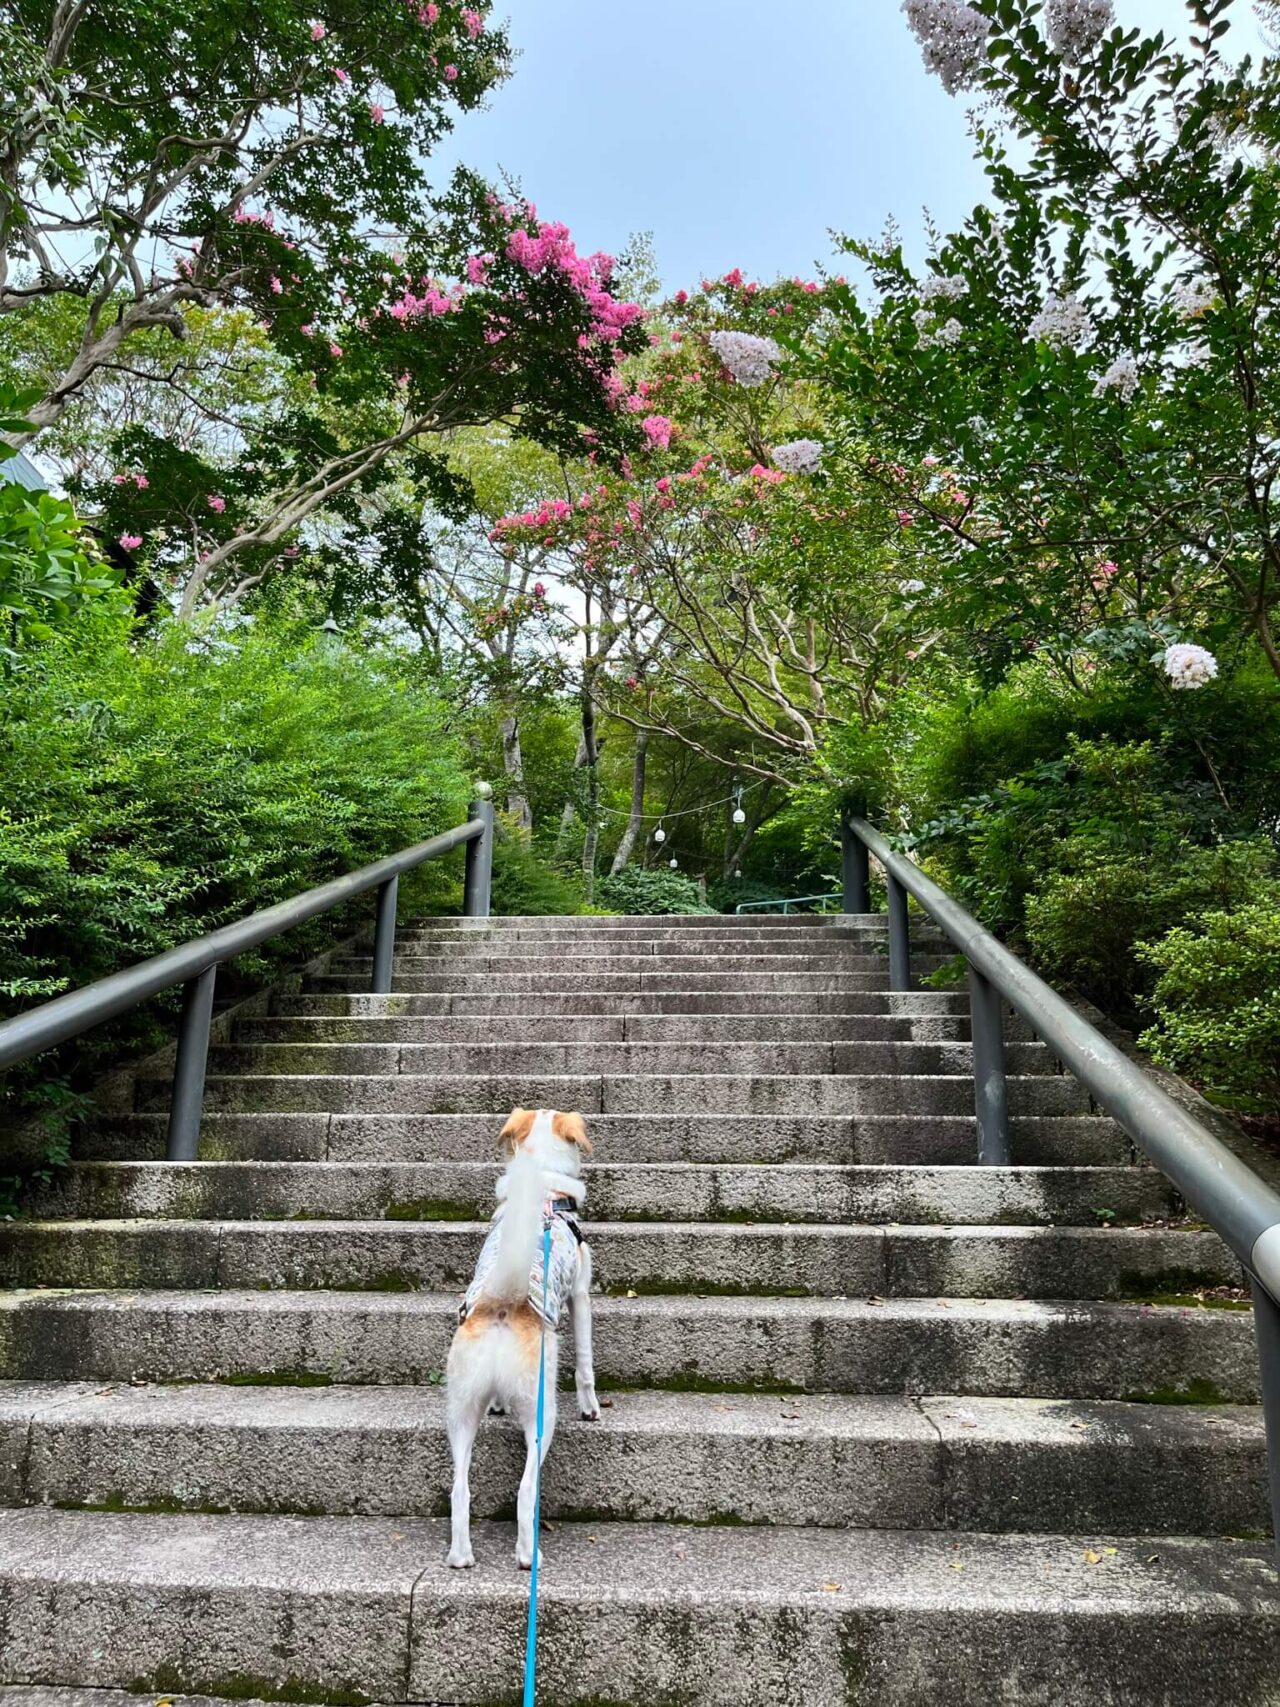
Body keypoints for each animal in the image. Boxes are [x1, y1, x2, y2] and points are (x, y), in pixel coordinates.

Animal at [447, 1106, 600, 1570]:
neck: (547, 1190)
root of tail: (502, 1300)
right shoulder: (581, 1293)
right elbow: (585, 1361)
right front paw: (592, 1408)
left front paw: (498, 1405)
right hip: (540, 1411)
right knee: (526, 1489)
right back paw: (527, 1554)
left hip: (460, 1408)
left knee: (459, 1488)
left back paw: (460, 1555)